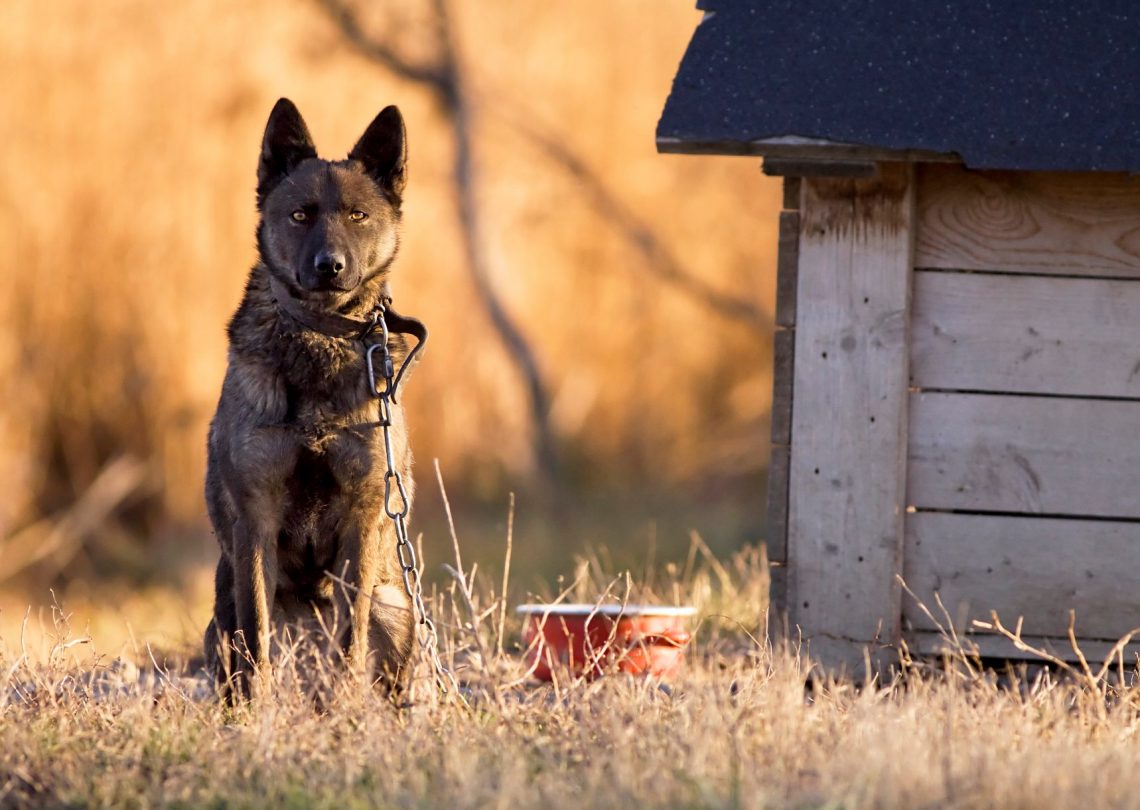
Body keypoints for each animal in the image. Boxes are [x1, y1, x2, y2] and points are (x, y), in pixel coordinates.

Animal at [201, 97, 424, 701]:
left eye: (357, 216)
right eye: (300, 216)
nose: (330, 266)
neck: (318, 339)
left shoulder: (362, 516)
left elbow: (351, 634)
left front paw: (347, 706)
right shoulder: (255, 521)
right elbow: (257, 635)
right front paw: (258, 711)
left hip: (399, 610)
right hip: (219, 611)